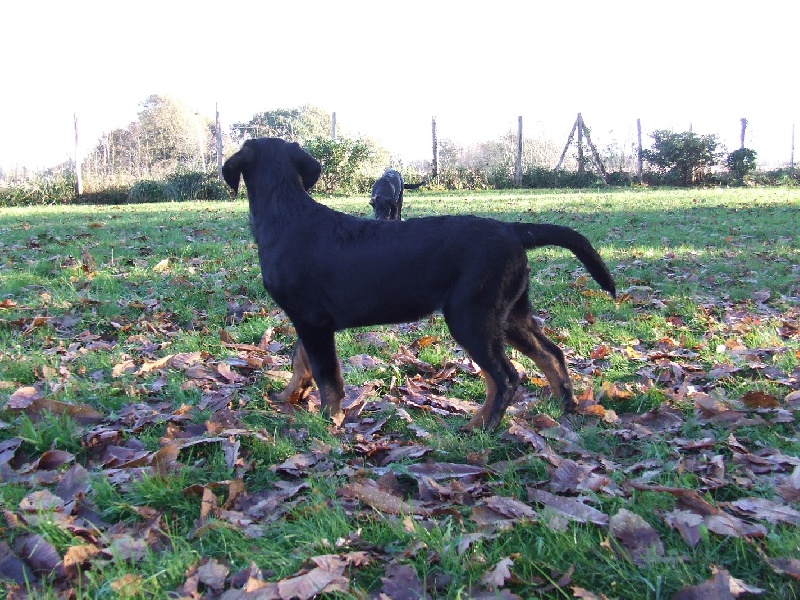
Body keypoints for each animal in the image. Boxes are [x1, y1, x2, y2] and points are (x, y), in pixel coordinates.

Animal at [222, 139, 616, 432]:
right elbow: (300, 359)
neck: (285, 212)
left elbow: (326, 374)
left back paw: (481, 426)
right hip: (510, 312)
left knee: (504, 376)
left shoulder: (313, 320)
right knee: (550, 354)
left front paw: (327, 420)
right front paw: (289, 396)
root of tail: (511, 230)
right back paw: (566, 405)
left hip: (471, 315)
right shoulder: (306, 320)